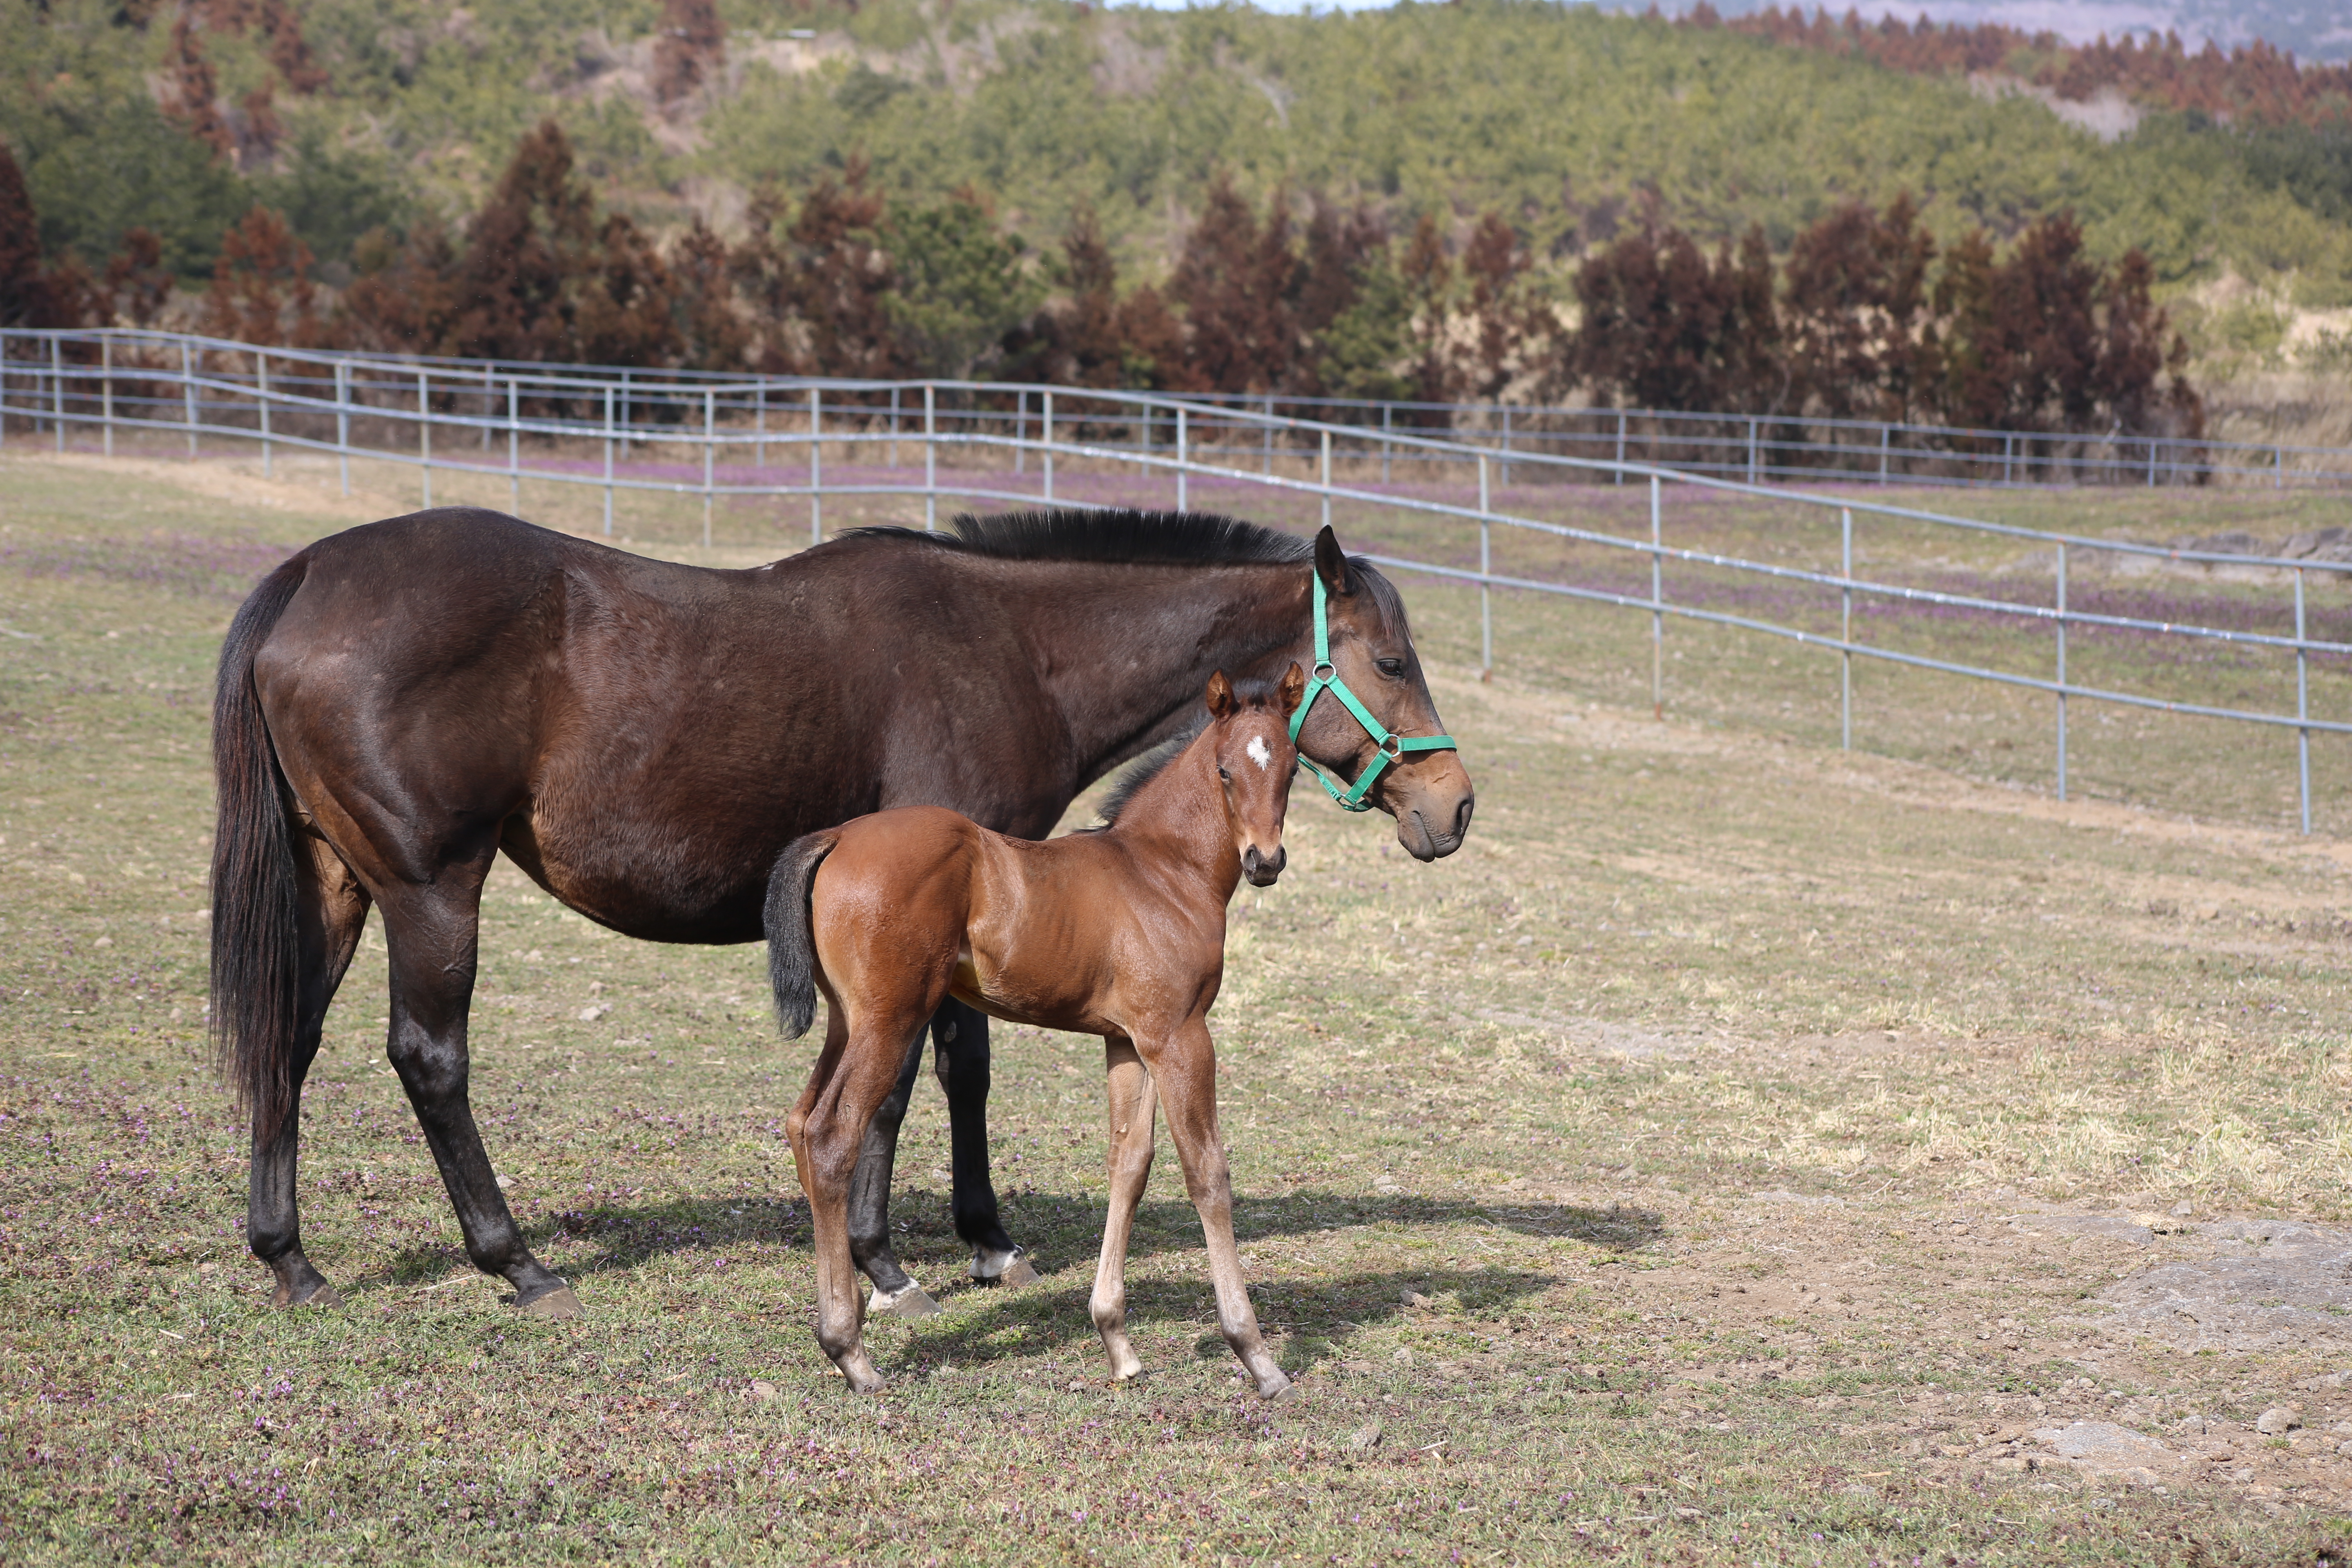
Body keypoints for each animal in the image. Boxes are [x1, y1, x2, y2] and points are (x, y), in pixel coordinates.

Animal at [762, 663, 1307, 1401]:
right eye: (1225, 771)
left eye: (1292, 767)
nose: (1264, 861)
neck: (1161, 871)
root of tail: (839, 836)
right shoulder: (1180, 1036)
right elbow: (1207, 1172)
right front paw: (1257, 1356)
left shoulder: (1128, 1042)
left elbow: (1130, 1164)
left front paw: (1116, 1341)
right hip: (889, 1020)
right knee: (829, 1137)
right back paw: (851, 1351)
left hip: (849, 1021)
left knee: (800, 1121)